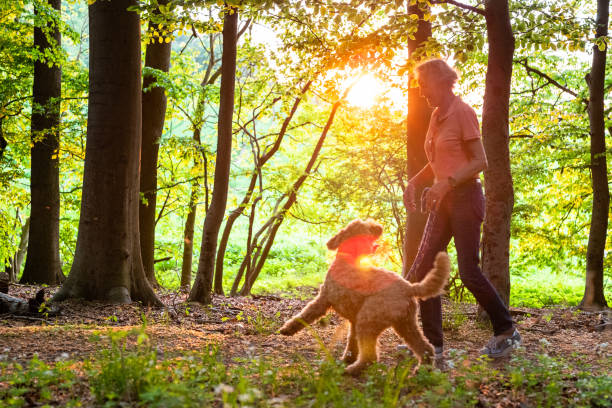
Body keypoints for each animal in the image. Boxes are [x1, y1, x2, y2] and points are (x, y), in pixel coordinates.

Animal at [278, 218, 450, 374]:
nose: (379, 227)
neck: (347, 259)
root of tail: (409, 287)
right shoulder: (353, 321)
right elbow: (351, 342)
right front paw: (347, 358)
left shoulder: (323, 300)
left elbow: (304, 315)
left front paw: (287, 329)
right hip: (405, 324)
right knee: (425, 347)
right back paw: (423, 369)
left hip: (368, 321)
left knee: (371, 357)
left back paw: (353, 369)